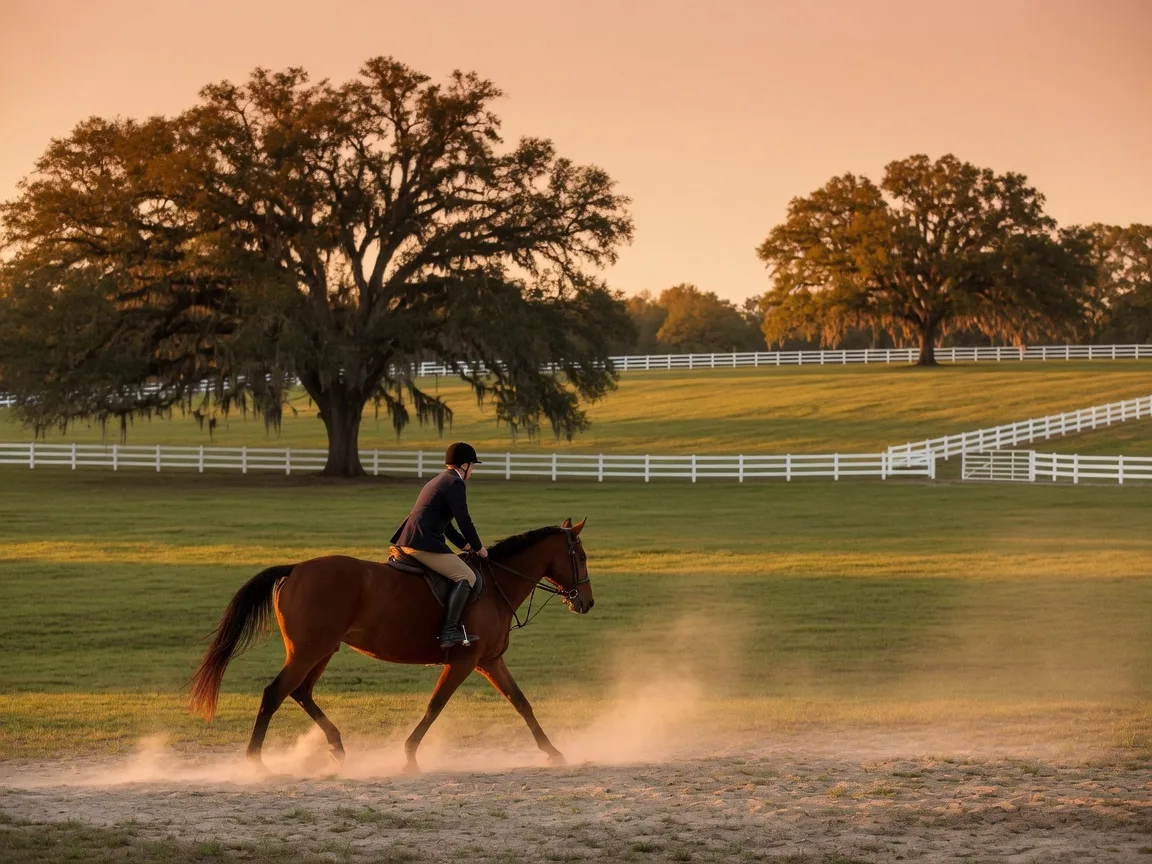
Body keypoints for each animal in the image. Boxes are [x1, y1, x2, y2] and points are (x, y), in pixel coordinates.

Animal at [188, 518, 592, 774]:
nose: (586, 603)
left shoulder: (490, 661)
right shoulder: (464, 662)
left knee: (300, 692)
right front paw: (410, 755)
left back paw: (336, 746)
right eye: (583, 557)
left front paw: (553, 752)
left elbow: (522, 703)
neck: (495, 586)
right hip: (308, 651)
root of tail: (296, 568)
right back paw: (256, 761)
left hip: (321, 650)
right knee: (275, 692)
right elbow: (435, 706)